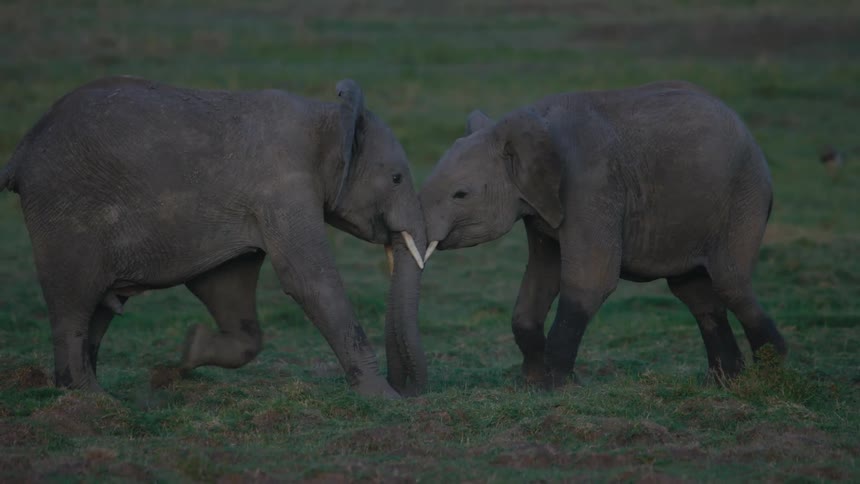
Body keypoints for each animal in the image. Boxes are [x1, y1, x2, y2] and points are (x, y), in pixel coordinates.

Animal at [0, 75, 428, 398]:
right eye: (396, 178)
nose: (407, 391)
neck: (329, 118)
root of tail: (19, 152)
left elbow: (226, 285)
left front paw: (185, 357)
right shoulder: (281, 184)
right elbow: (309, 281)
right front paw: (382, 399)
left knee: (98, 309)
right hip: (63, 212)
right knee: (73, 303)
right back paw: (91, 399)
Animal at [419, 80, 787, 388]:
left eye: (461, 195)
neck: (535, 125)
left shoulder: (590, 184)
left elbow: (591, 279)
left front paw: (555, 387)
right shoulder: (544, 207)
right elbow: (541, 276)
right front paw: (530, 384)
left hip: (743, 198)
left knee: (730, 282)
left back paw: (771, 372)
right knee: (695, 292)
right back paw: (724, 382)